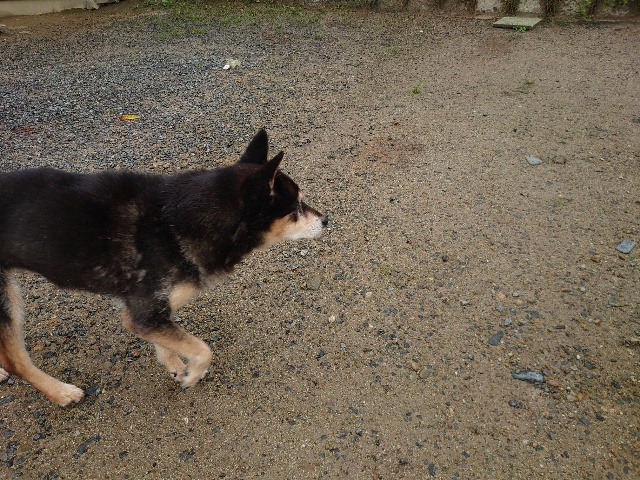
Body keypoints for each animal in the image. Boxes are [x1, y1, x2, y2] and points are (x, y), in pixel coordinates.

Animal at [0, 129, 327, 406]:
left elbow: (169, 340)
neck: (175, 220)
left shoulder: (152, 312)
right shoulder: (144, 313)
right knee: (16, 362)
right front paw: (192, 374)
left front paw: (175, 366)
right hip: (7, 301)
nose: (326, 219)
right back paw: (61, 393)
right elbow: (202, 348)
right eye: (296, 207)